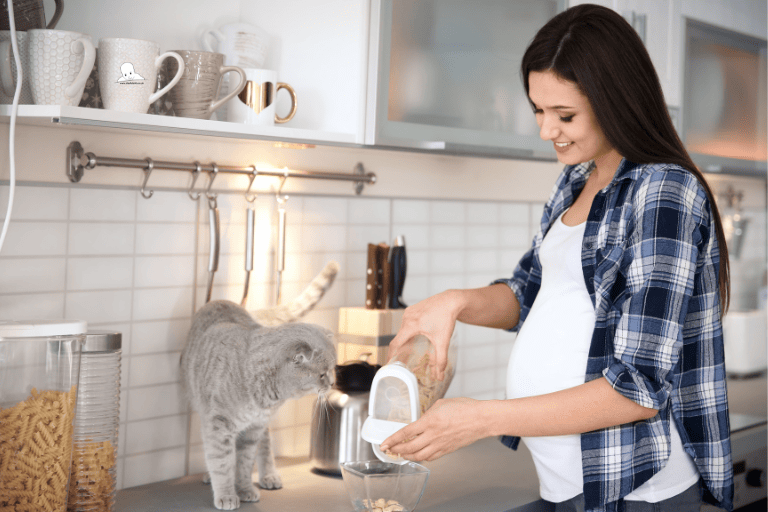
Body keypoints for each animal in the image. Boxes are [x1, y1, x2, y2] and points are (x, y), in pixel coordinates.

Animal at [182, 262, 338, 510]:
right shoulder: (218, 426)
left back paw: (269, 476)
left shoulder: (253, 429)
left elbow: (244, 464)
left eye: (333, 369)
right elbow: (222, 463)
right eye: (322, 374)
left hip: (262, 427)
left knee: (265, 446)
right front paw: (226, 493)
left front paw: (244, 488)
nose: (332, 382)